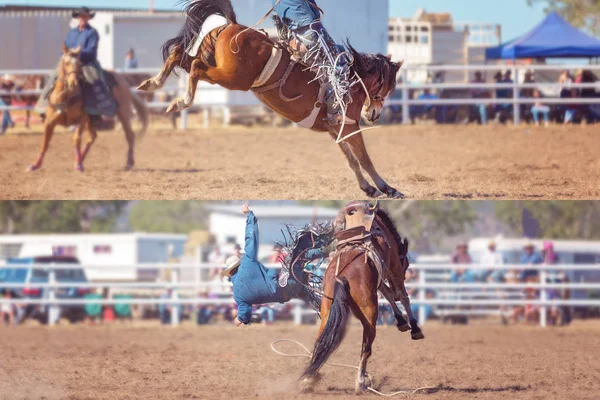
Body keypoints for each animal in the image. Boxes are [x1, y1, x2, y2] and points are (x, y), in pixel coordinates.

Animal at [27, 44, 150, 173]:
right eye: (66, 62)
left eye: (79, 63)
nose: (73, 83)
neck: (65, 96)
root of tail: (124, 82)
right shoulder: (49, 122)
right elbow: (45, 142)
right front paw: (35, 165)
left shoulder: (80, 120)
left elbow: (76, 139)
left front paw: (79, 166)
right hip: (91, 120)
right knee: (92, 136)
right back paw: (80, 158)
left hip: (123, 112)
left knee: (129, 135)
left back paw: (129, 163)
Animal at [138, 0, 406, 198]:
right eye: (388, 87)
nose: (374, 114)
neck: (351, 79)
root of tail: (232, 26)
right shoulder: (350, 125)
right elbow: (364, 158)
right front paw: (388, 188)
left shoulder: (335, 129)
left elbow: (352, 160)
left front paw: (368, 188)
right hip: (231, 78)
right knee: (194, 68)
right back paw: (180, 101)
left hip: (213, 60)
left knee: (180, 55)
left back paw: (152, 84)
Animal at [300, 200, 422, 394]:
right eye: (407, 262)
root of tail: (341, 277)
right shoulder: (393, 267)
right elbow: (403, 296)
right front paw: (414, 328)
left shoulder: (379, 277)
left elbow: (388, 293)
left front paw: (402, 321)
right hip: (369, 316)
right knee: (365, 349)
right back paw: (361, 382)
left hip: (327, 313)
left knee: (321, 343)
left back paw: (309, 379)